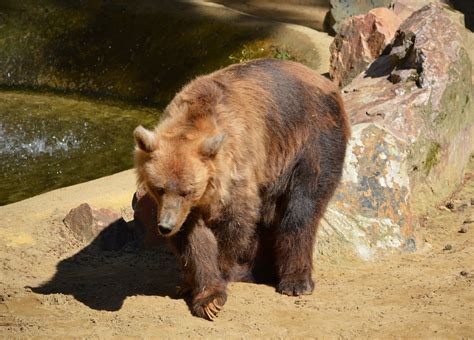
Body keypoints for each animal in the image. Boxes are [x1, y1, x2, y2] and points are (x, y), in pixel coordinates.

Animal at [132, 59, 348, 322]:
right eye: (159, 188)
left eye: (187, 191)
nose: (165, 226)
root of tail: (325, 80)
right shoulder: (189, 207)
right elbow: (193, 239)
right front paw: (198, 291)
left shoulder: (238, 168)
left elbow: (234, 225)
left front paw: (215, 285)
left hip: (310, 138)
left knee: (302, 206)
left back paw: (295, 281)